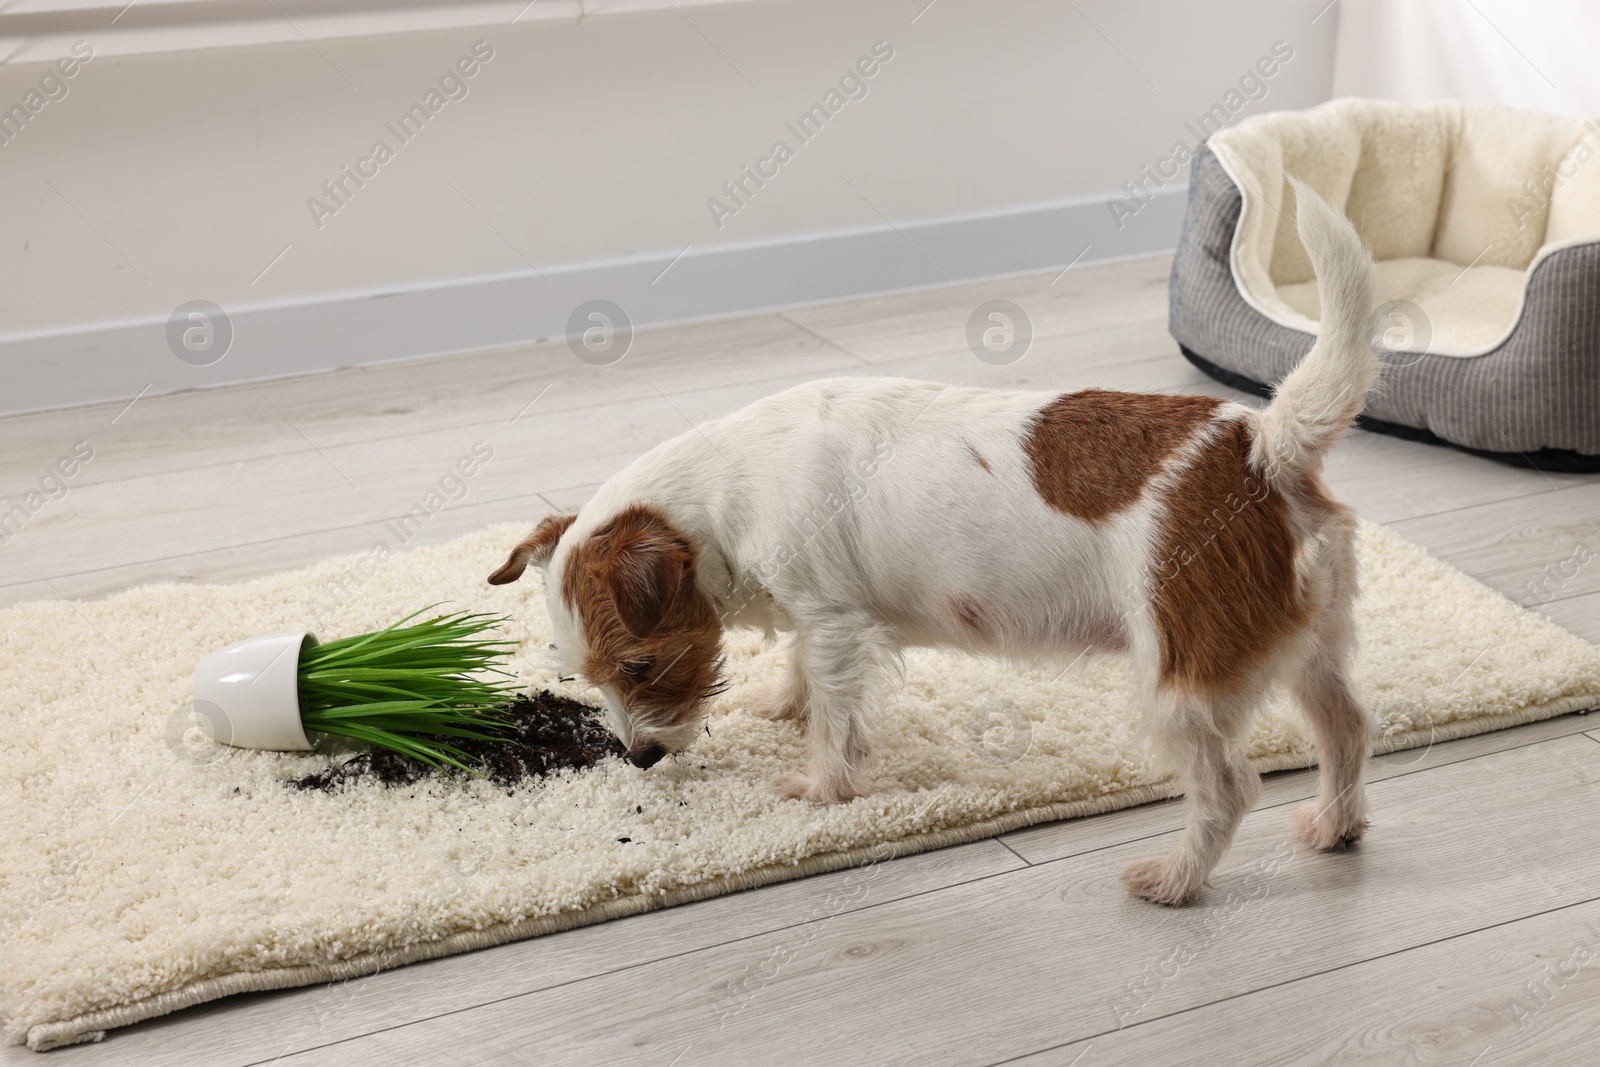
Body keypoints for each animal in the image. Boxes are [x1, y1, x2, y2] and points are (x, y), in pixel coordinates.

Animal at [486, 181, 1376, 902]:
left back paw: (1174, 880)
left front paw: (821, 789)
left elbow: (836, 719)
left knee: (1227, 789)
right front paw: (782, 702)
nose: (638, 758)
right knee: (1347, 728)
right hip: (1310, 649)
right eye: (586, 678)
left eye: (640, 666)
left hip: (1183, 685)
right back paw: (1335, 826)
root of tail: (1261, 443)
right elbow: (801, 670)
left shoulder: (834, 622)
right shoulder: (813, 618)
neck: (724, 491)